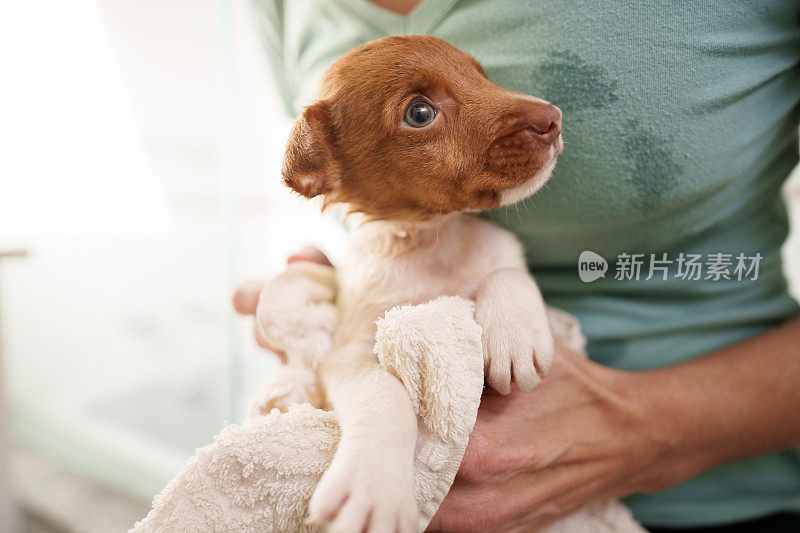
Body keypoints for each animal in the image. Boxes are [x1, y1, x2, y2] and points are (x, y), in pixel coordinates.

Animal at [282, 35, 564, 528]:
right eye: (419, 113)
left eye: (482, 75)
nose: (554, 117)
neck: (434, 242)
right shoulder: (348, 352)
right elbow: (385, 396)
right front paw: (374, 484)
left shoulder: (500, 251)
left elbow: (507, 268)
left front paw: (514, 334)